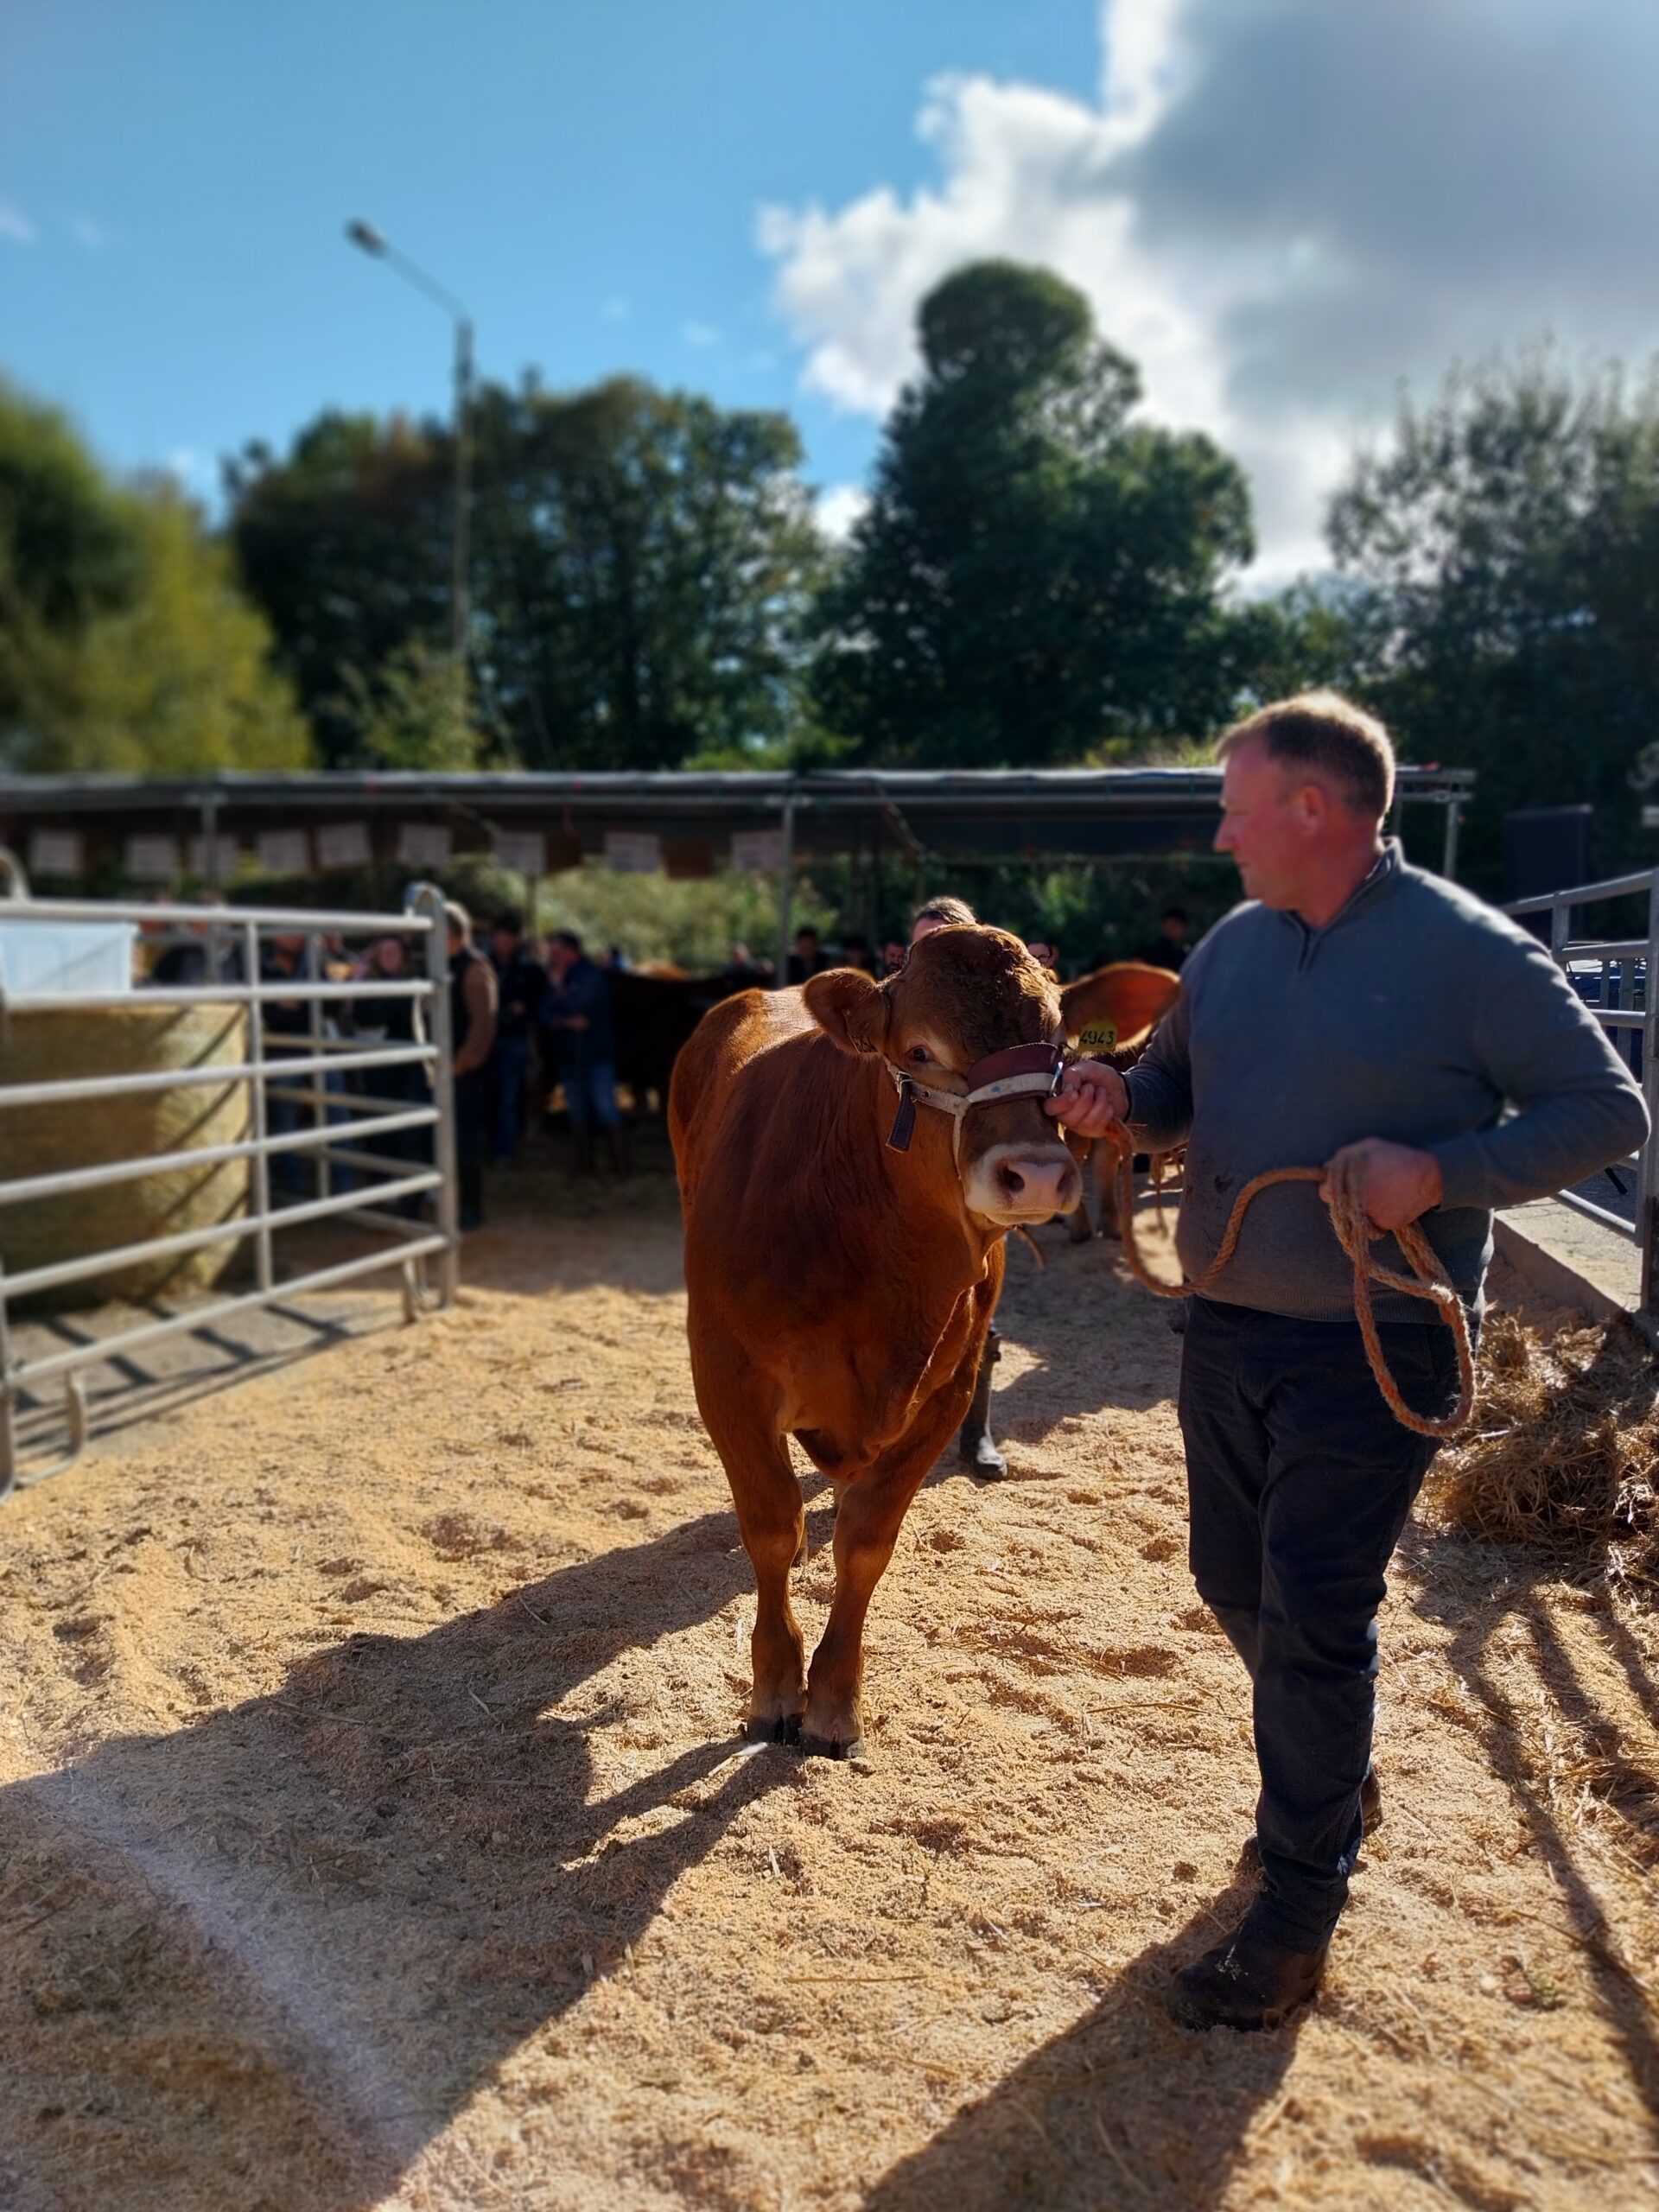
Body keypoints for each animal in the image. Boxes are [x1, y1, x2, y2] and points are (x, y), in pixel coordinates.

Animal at [677, 925, 1185, 1751]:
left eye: (1059, 1047)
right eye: (919, 1050)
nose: (1034, 1175)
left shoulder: (945, 1388)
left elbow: (866, 1542)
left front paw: (834, 1702)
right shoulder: (725, 1375)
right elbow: (772, 1528)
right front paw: (777, 1689)